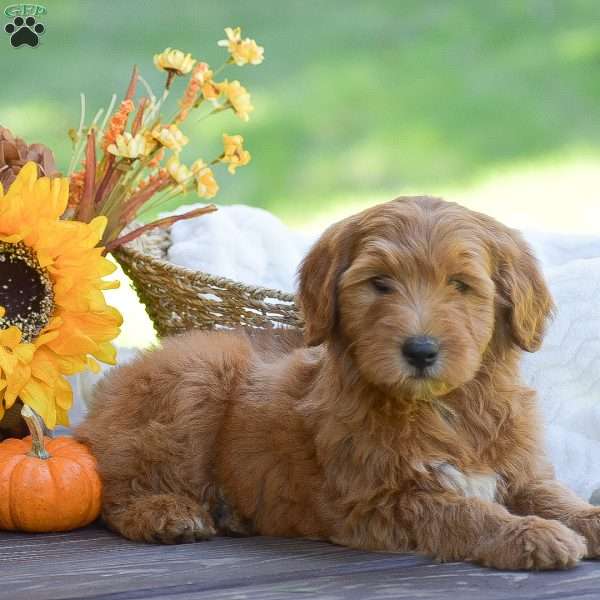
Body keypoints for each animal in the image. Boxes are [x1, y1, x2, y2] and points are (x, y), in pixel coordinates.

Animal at [77, 199, 600, 568]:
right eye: (380, 283)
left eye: (460, 284)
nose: (421, 350)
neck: (446, 408)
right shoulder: (385, 500)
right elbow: (466, 512)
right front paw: (530, 535)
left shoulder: (520, 470)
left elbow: (555, 496)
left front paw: (586, 520)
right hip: (193, 383)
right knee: (114, 485)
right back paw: (166, 514)